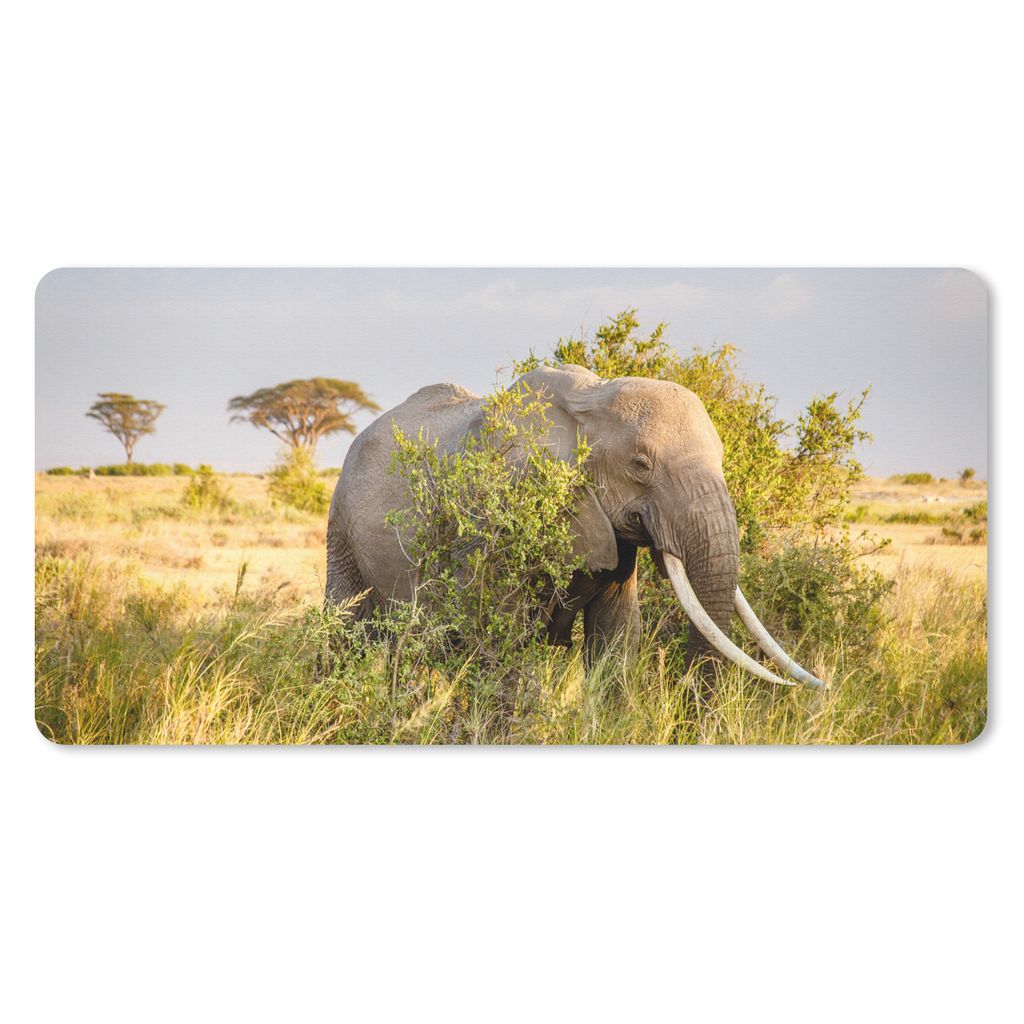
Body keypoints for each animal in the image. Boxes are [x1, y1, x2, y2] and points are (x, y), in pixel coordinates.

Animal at [325, 364, 821, 689]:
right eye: (641, 465)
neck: (590, 402)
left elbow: (617, 638)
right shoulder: (496, 513)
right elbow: (500, 639)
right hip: (341, 527)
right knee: (343, 629)